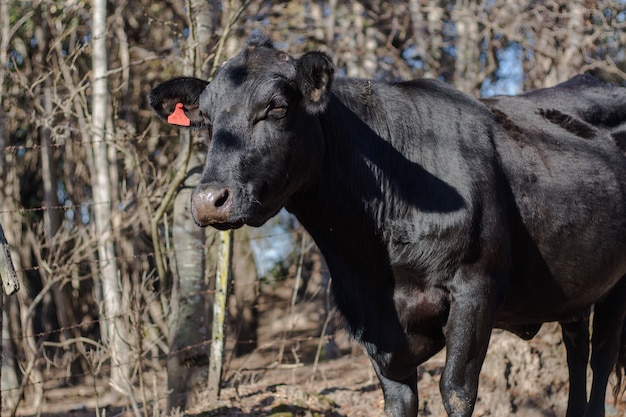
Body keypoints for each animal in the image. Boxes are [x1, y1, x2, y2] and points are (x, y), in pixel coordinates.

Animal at [150, 36, 624, 416]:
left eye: (277, 108)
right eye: (206, 121)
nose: (209, 200)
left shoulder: (475, 286)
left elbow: (456, 391)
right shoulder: (369, 319)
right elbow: (399, 400)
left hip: (617, 285)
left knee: (601, 359)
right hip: (575, 287)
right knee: (577, 350)